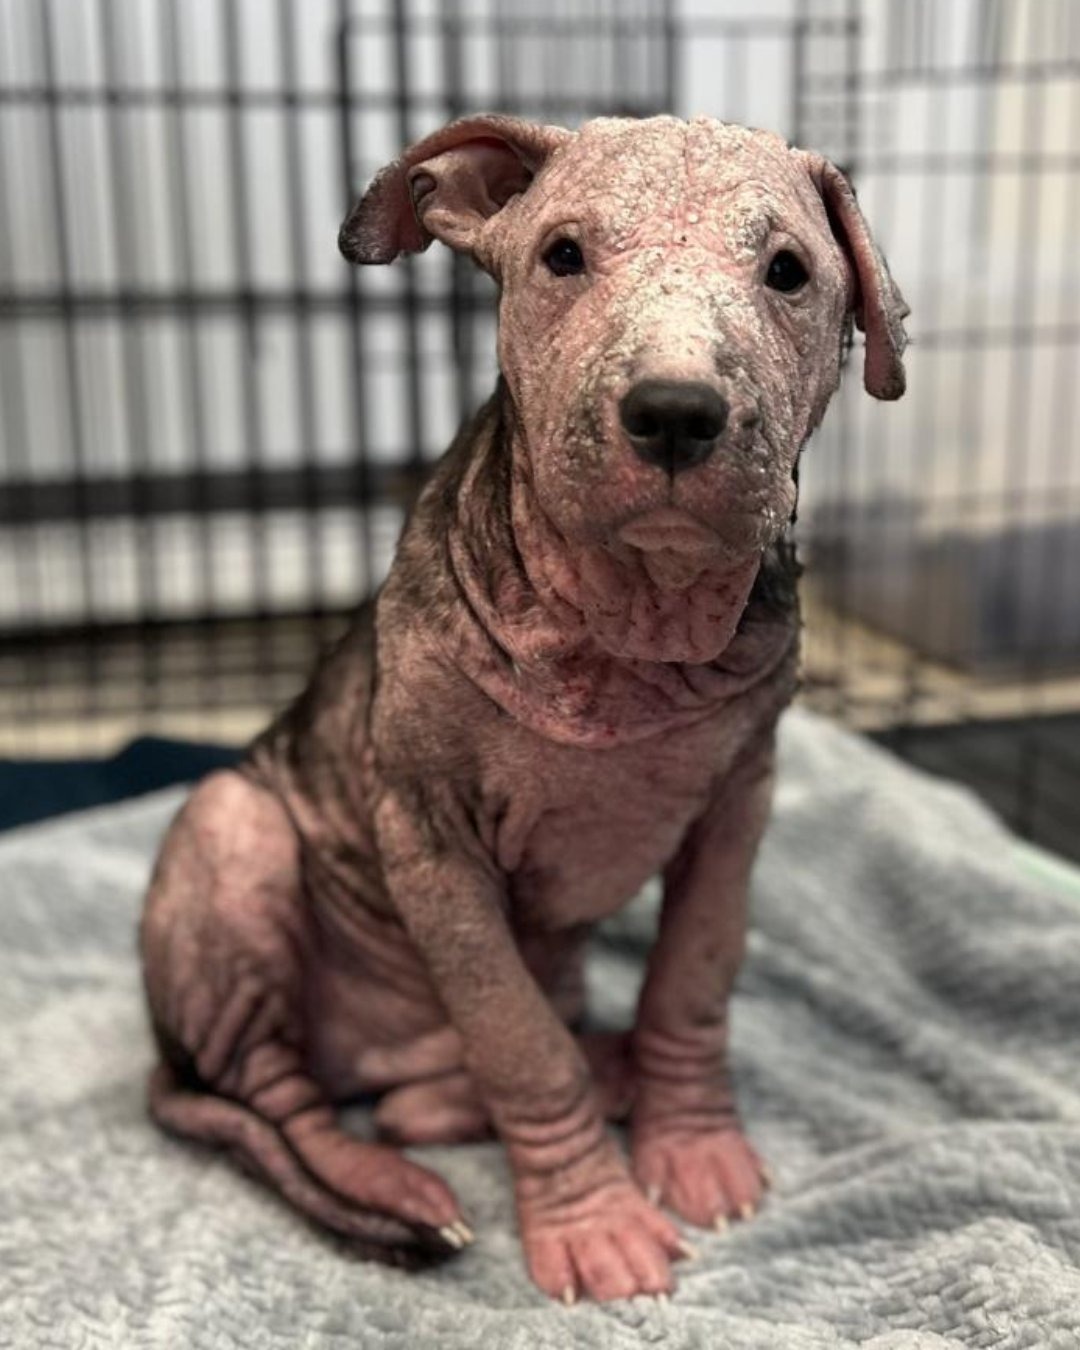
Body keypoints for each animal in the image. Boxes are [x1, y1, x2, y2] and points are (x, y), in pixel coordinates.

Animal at [139, 118, 907, 1306]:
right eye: (562, 256)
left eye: (789, 272)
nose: (676, 414)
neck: (631, 622)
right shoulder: (431, 842)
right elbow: (518, 1043)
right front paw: (596, 1221)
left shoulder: (737, 806)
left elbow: (692, 981)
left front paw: (694, 1146)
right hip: (236, 837)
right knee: (282, 1101)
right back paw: (391, 1186)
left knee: (430, 1095)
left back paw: (592, 1074)